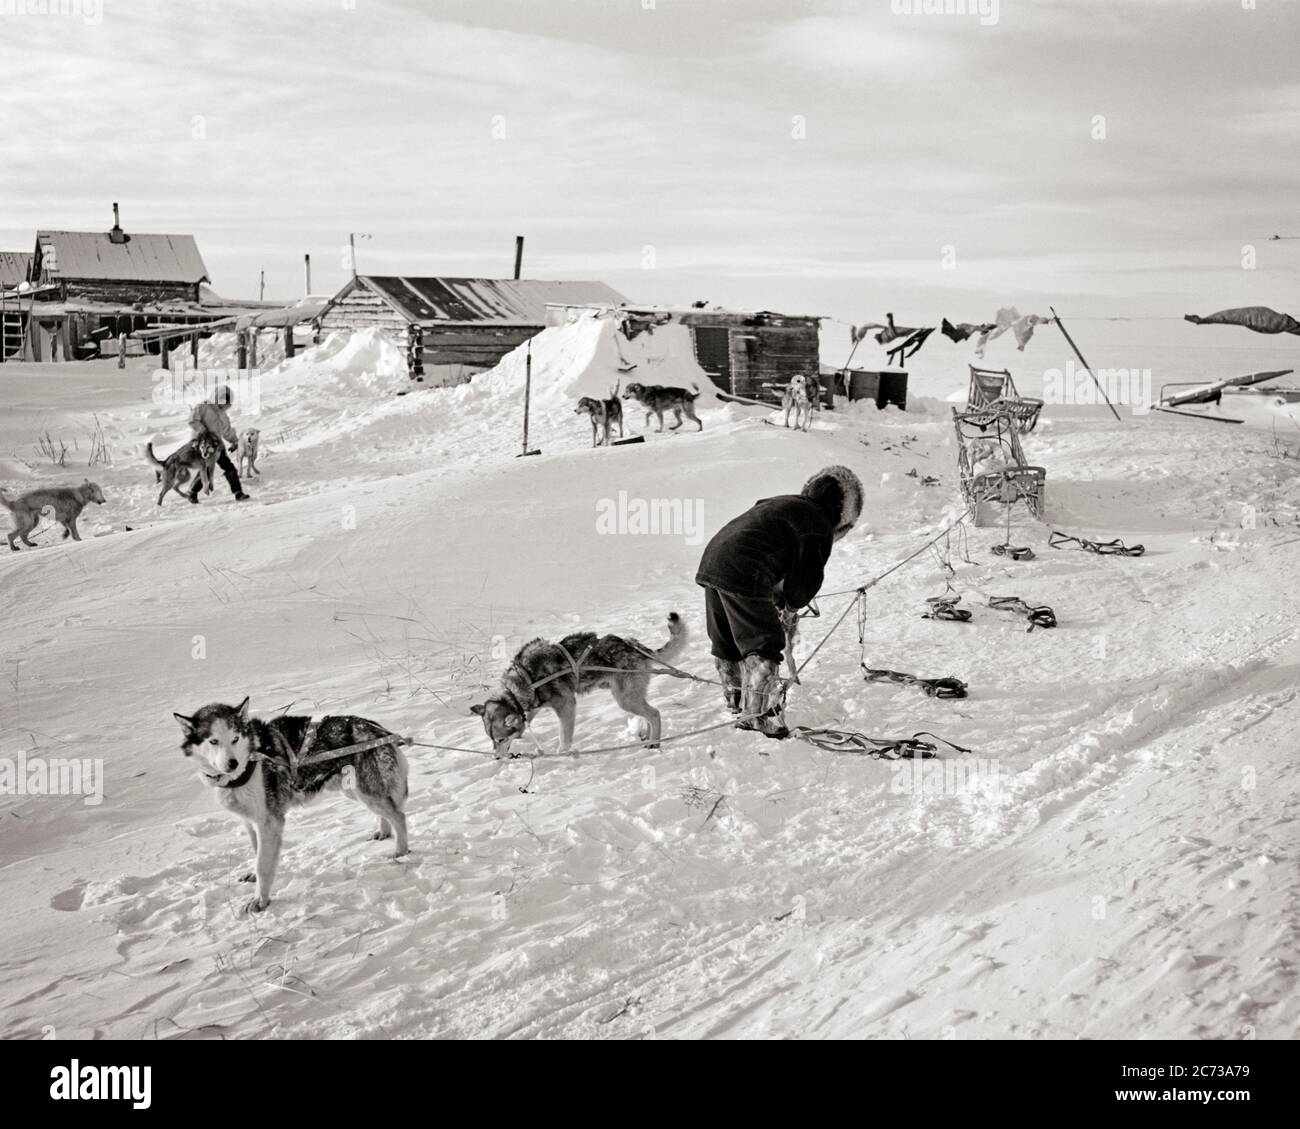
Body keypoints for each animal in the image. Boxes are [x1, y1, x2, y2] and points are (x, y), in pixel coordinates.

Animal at [172, 697, 405, 915]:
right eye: (213, 741)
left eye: (235, 739)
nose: (233, 764)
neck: (250, 760)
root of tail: (376, 727)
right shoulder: (252, 822)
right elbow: (258, 852)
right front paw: (254, 877)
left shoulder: (269, 822)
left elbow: (263, 864)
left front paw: (260, 901)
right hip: (355, 790)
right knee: (387, 812)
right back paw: (383, 832)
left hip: (365, 791)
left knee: (399, 816)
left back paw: (401, 851)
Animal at [470, 613, 691, 754]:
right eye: (492, 740)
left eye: (500, 740)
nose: (497, 758)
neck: (528, 678)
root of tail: (634, 647)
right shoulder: (533, 705)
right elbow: (527, 719)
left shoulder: (566, 706)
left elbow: (564, 738)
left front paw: (562, 754)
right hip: (629, 697)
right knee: (648, 714)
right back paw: (645, 735)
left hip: (625, 699)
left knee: (655, 714)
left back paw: (655, 743)